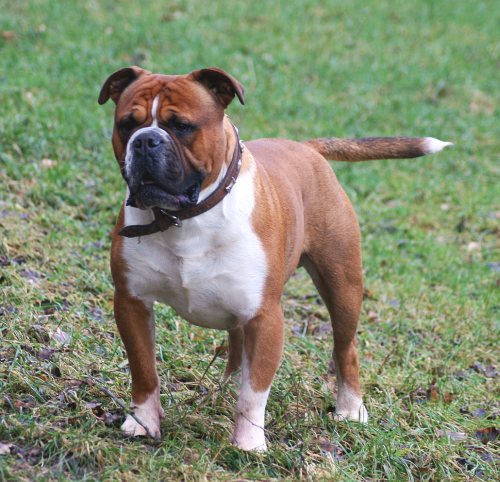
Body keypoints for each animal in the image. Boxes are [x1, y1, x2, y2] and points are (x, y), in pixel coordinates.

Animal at [96, 66, 450, 450]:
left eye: (182, 126)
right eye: (127, 124)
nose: (145, 140)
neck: (186, 218)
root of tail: (307, 148)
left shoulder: (265, 318)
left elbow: (254, 392)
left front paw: (249, 444)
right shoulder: (132, 302)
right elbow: (144, 370)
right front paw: (144, 422)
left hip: (343, 287)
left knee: (345, 348)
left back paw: (350, 408)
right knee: (236, 347)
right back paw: (221, 392)